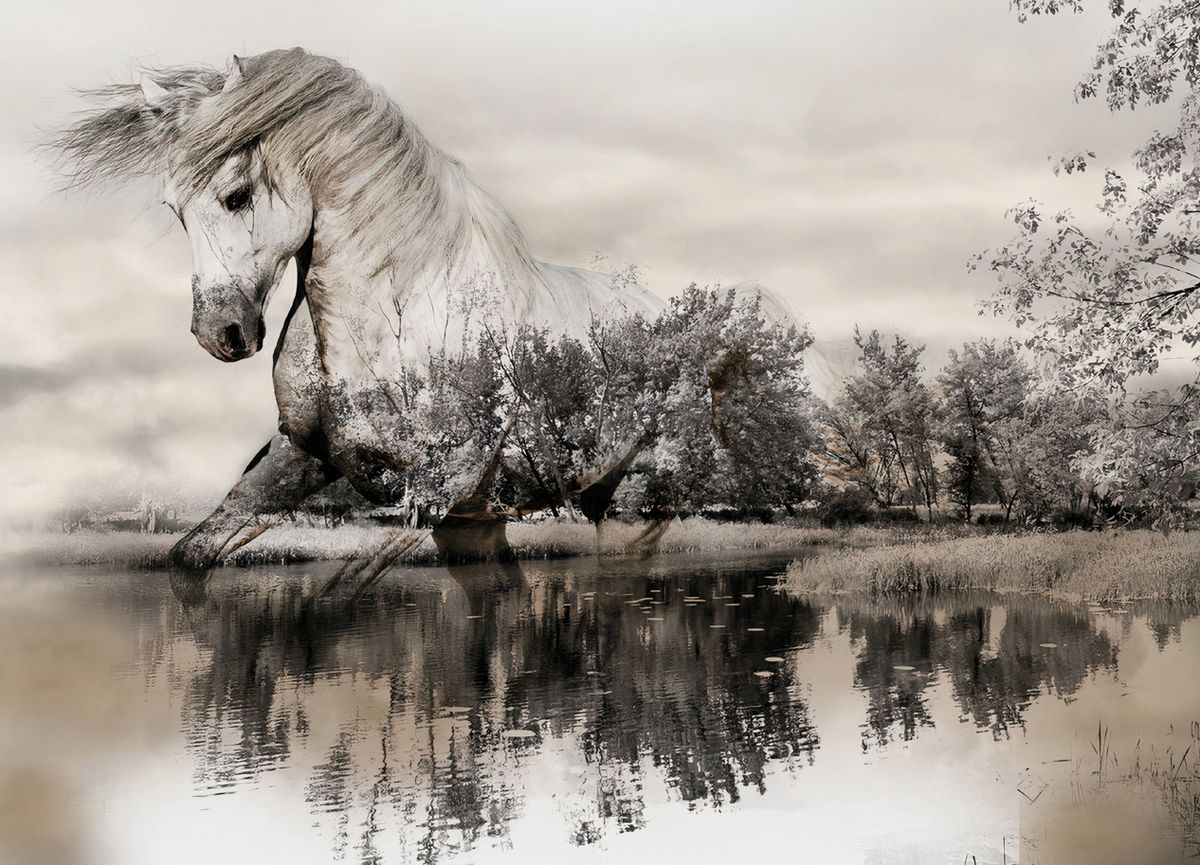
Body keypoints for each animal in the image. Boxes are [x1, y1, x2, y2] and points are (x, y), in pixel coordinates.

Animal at [52, 48, 796, 568]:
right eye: (172, 208)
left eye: (236, 194)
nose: (221, 332)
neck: (394, 317)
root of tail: (683, 336)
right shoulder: (305, 460)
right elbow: (192, 557)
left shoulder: (436, 493)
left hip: (633, 509)